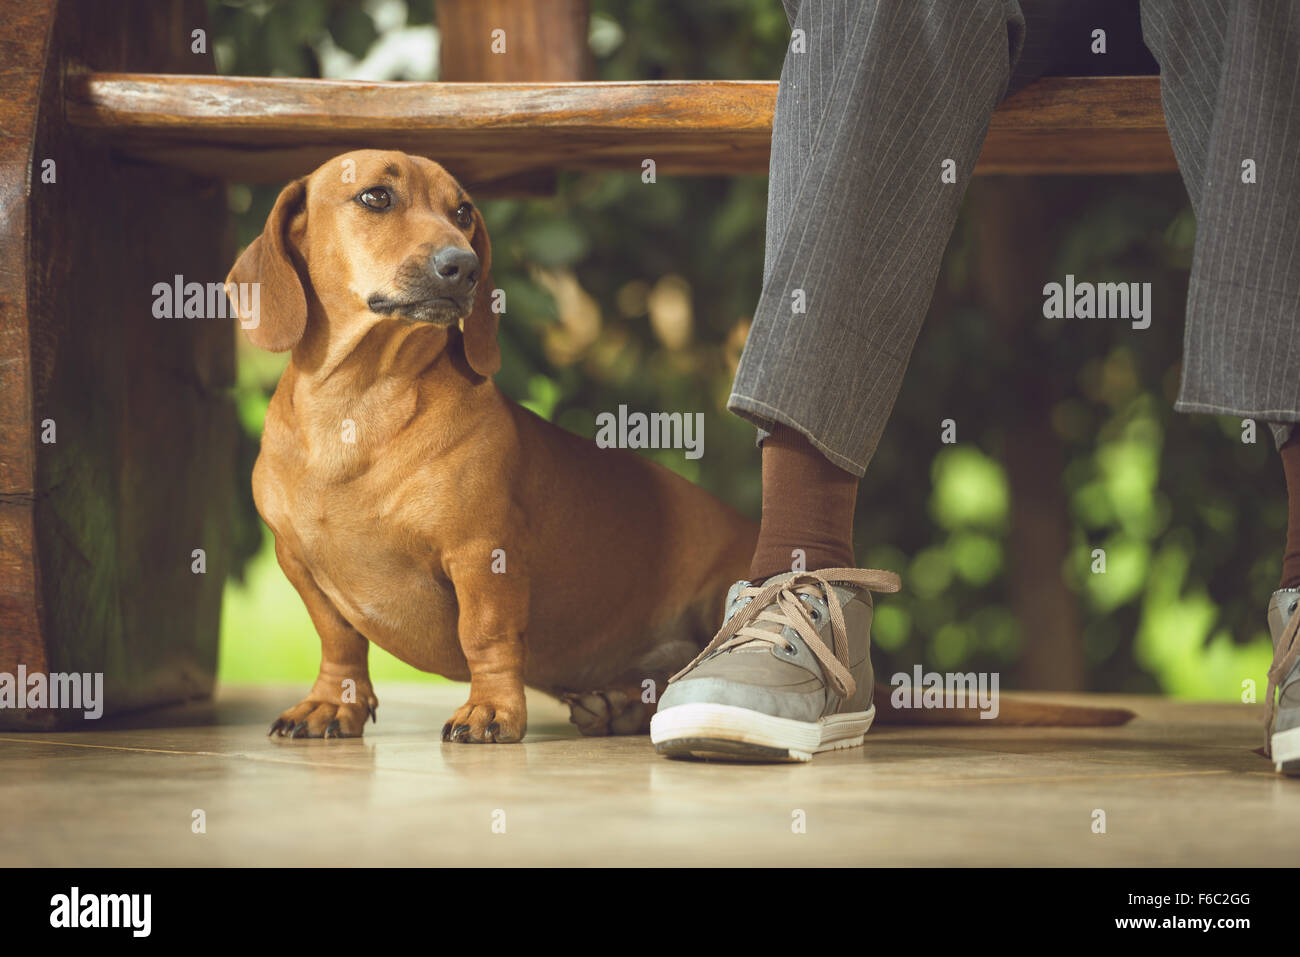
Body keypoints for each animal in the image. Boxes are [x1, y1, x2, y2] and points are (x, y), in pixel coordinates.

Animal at [228, 151, 1133, 748]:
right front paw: (334, 704)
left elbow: (488, 638)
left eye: (463, 213)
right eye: (374, 196)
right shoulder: (300, 568)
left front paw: (492, 710)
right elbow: (340, 643)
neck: (361, 407)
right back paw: (619, 704)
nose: (461, 268)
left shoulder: (483, 554)